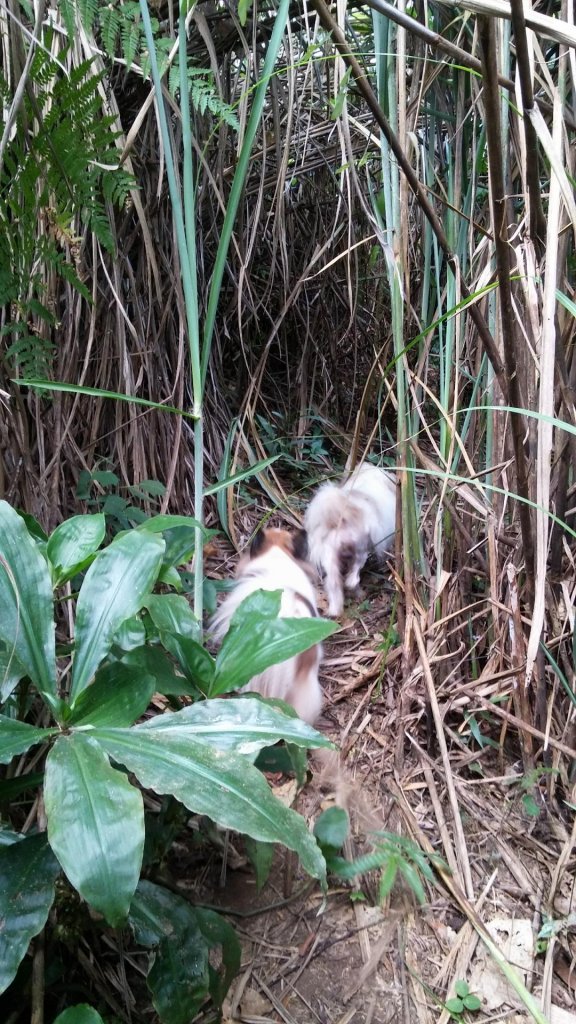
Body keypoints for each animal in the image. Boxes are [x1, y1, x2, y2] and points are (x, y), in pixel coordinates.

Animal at [305, 464, 393, 614]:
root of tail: (341, 521)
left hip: (330, 559)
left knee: (334, 584)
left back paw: (335, 610)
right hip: (360, 552)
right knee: (351, 580)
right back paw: (359, 594)